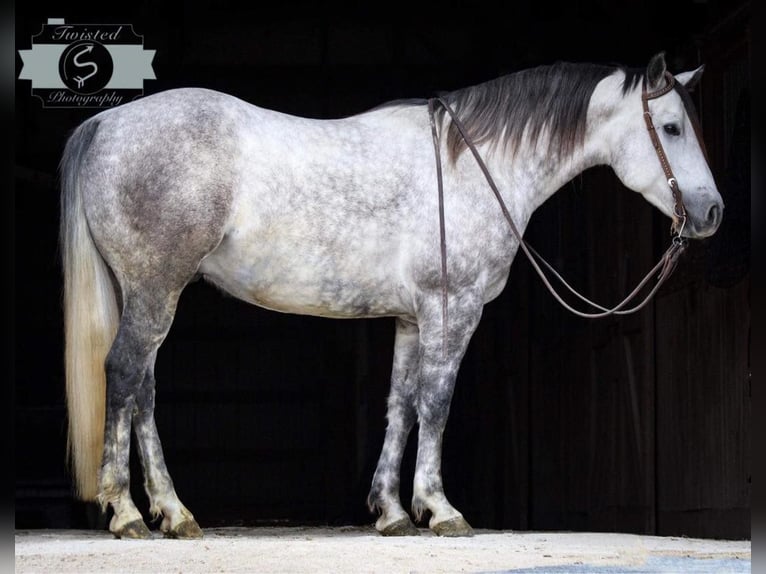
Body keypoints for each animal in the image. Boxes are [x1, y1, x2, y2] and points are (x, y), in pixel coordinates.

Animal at [61, 53, 728, 540]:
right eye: (671, 128)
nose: (711, 213)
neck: (473, 165)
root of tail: (106, 123)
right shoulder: (452, 311)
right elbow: (436, 403)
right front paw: (441, 508)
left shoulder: (412, 320)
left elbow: (401, 407)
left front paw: (393, 512)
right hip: (155, 289)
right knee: (125, 375)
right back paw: (127, 513)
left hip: (146, 293)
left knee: (143, 392)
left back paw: (173, 513)